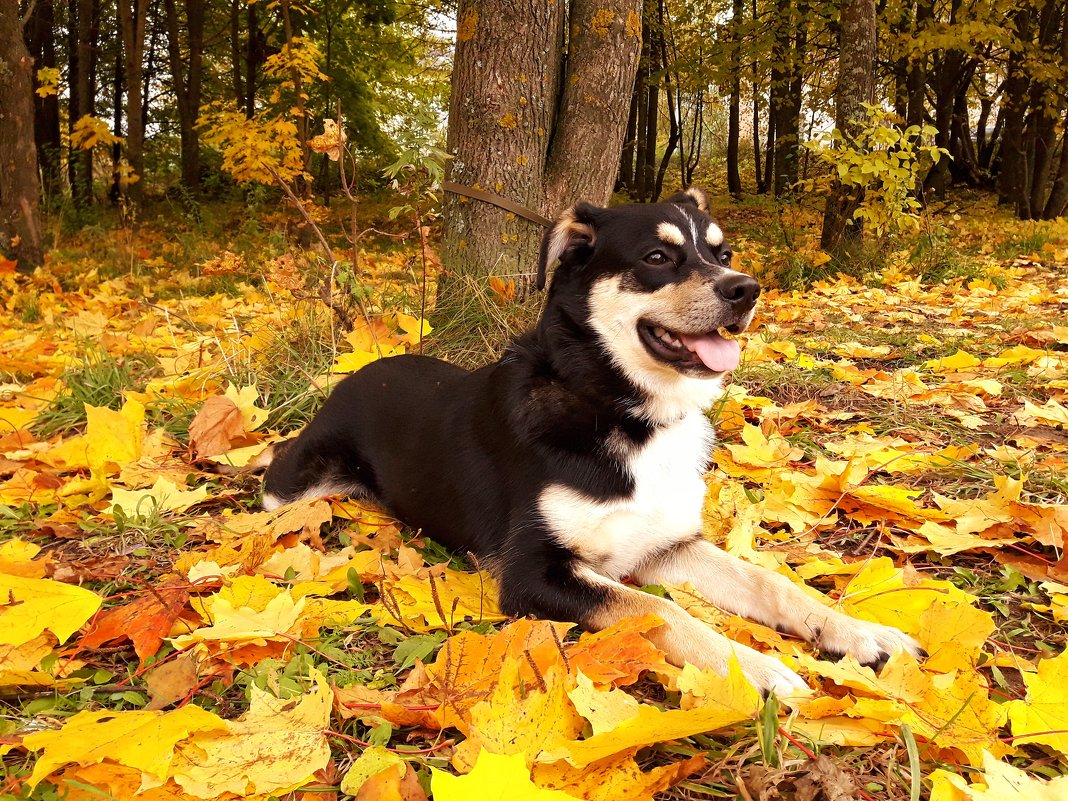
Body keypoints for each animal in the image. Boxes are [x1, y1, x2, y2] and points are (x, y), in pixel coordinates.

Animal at [260, 187, 927, 696]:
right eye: (658, 256)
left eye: (722, 252)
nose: (747, 288)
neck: (628, 414)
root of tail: (361, 368)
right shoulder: (534, 572)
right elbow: (659, 608)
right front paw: (754, 667)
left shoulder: (667, 544)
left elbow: (771, 583)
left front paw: (856, 632)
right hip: (294, 481)